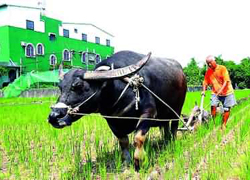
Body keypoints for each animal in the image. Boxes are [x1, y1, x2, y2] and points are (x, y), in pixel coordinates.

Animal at [47, 50, 187, 170]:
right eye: (60, 87)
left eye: (78, 86)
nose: (54, 116)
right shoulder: (112, 122)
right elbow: (123, 142)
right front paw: (127, 162)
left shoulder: (149, 113)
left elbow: (138, 138)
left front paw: (139, 161)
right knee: (165, 128)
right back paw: (166, 141)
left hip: (177, 110)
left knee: (174, 127)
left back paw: (172, 142)